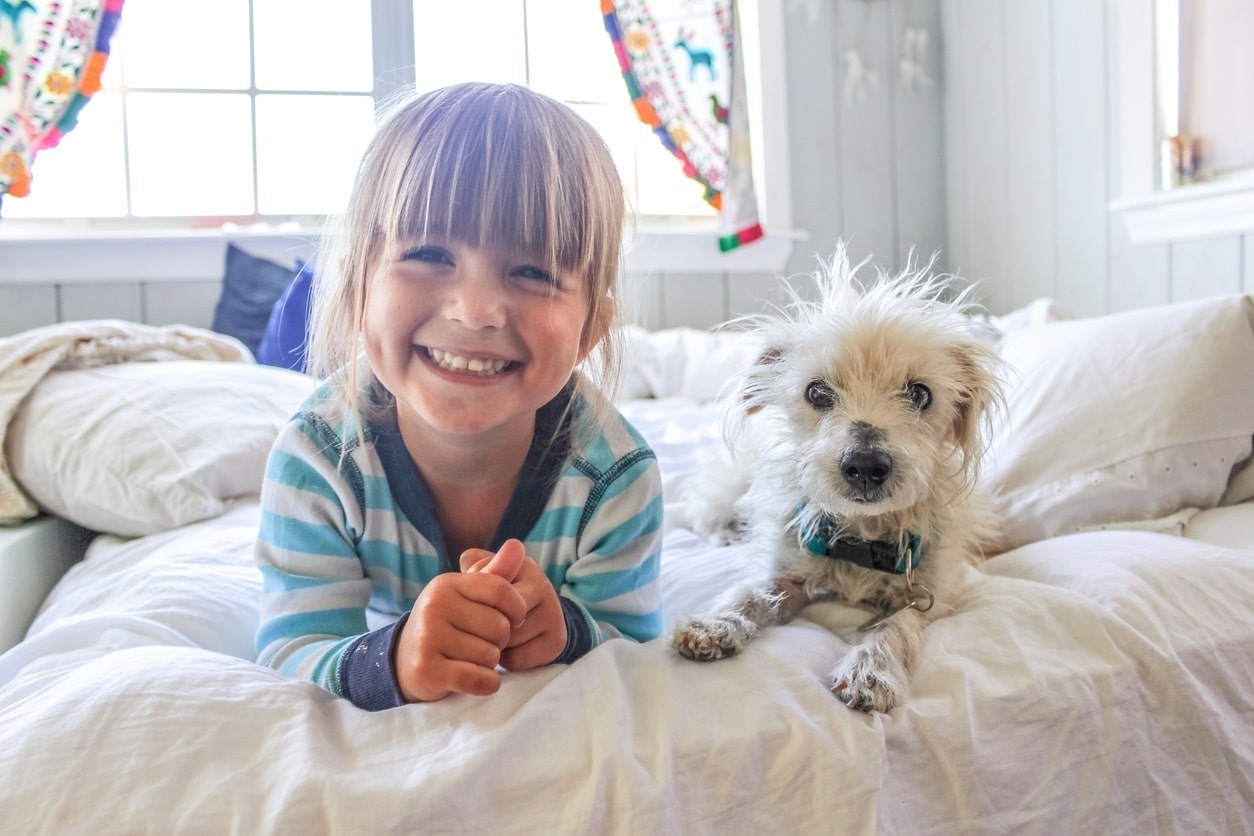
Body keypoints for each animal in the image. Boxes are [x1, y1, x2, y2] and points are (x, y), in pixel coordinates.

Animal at [672, 248, 1003, 711]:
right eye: (817, 392)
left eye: (919, 394)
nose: (864, 465)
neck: (863, 536)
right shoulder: (789, 568)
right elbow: (752, 592)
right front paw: (716, 623)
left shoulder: (931, 595)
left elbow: (896, 626)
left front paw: (871, 669)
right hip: (731, 485)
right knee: (702, 512)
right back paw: (725, 534)